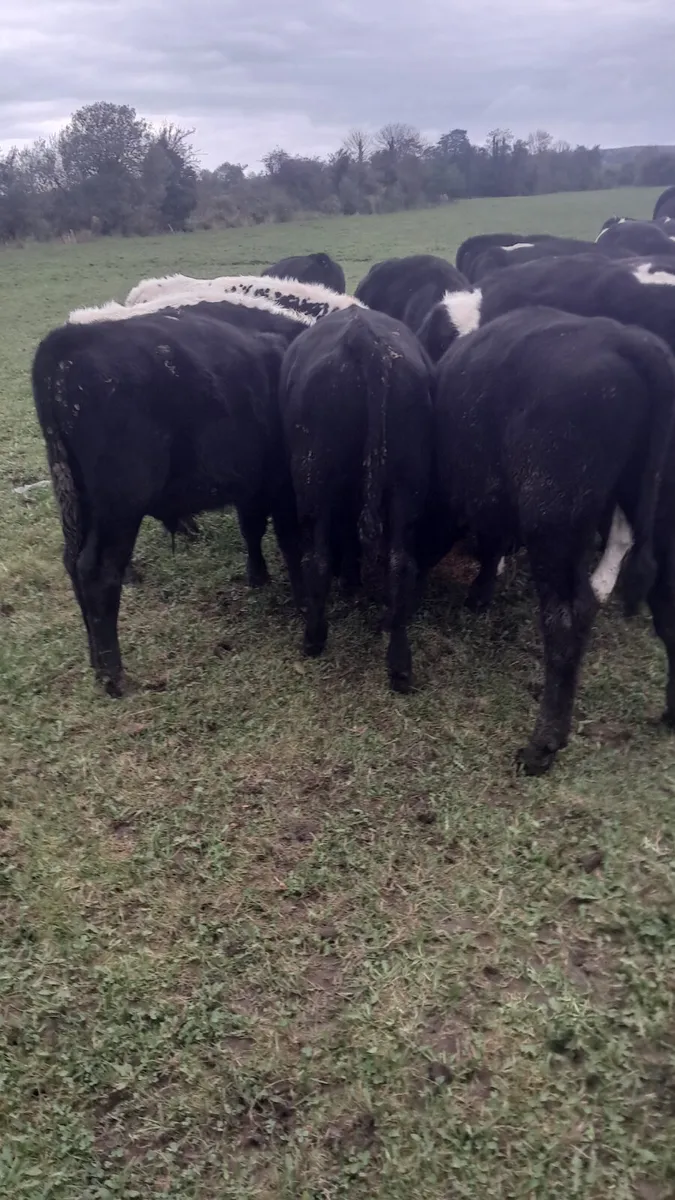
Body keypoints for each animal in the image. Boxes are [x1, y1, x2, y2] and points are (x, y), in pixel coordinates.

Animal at [32, 312, 298, 696]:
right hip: (120, 504)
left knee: (72, 563)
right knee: (97, 572)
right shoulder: (277, 483)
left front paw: (258, 576)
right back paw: (114, 677)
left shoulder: (253, 483)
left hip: (78, 499)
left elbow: (251, 528)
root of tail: (69, 339)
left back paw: (97, 663)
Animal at [279, 306, 434, 693]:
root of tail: (362, 337)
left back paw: (314, 638)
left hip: (312, 479)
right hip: (408, 486)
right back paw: (399, 663)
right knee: (399, 563)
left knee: (317, 559)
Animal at [427, 306, 675, 774]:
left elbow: (492, 540)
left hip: (553, 521)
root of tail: (628, 341)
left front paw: (479, 592)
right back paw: (671, 711)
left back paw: (543, 743)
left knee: (569, 616)